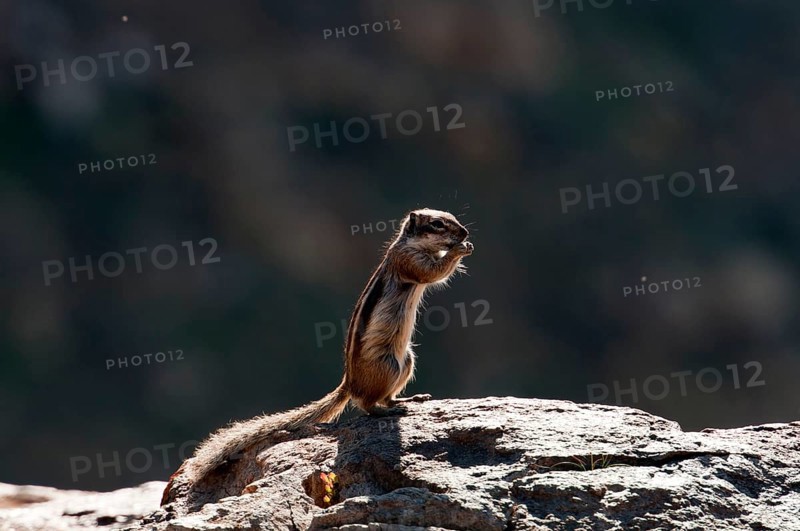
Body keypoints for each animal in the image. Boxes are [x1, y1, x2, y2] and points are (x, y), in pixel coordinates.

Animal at [177, 208, 473, 489]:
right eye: (437, 224)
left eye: (451, 218)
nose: (465, 232)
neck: (412, 244)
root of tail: (349, 383)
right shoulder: (408, 261)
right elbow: (433, 273)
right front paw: (459, 249)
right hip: (387, 365)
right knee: (366, 404)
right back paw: (387, 410)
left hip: (406, 360)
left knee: (385, 395)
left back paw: (406, 400)